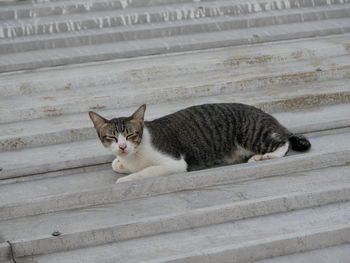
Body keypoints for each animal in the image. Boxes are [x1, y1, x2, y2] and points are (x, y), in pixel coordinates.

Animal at [89, 103, 310, 184]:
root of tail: (270, 117)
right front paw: (120, 164)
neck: (135, 155)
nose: (122, 147)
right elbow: (115, 164)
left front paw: (126, 178)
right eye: (112, 138)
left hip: (252, 134)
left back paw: (264, 156)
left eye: (131, 135)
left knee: (283, 142)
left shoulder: (175, 163)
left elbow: (146, 171)